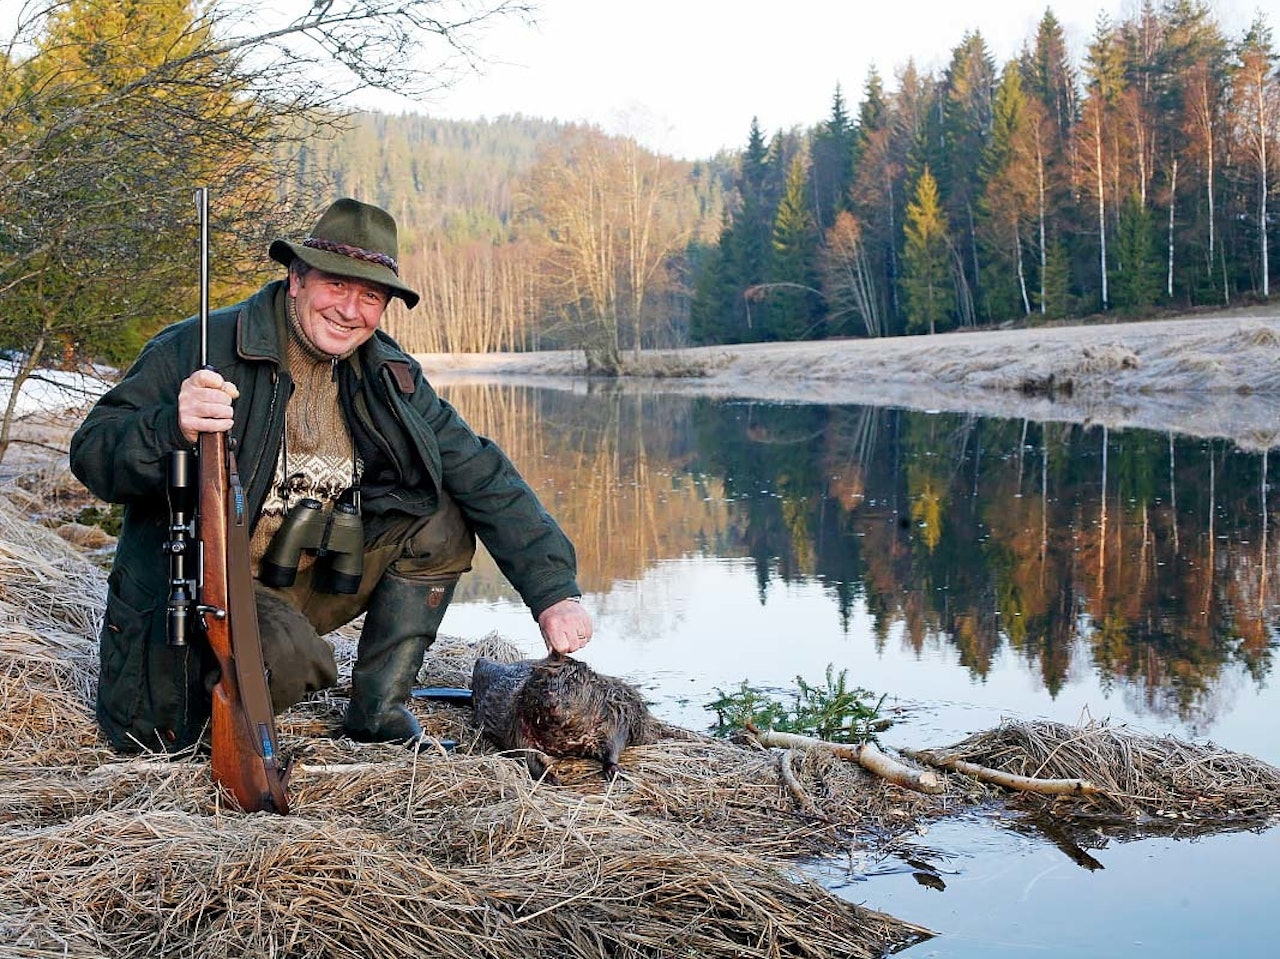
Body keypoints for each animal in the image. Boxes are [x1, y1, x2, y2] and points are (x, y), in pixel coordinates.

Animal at [471, 655, 670, 783]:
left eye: (571, 681)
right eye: (538, 680)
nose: (549, 697)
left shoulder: (613, 715)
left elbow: (614, 744)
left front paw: (614, 770)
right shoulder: (518, 723)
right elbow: (526, 754)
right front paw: (552, 778)